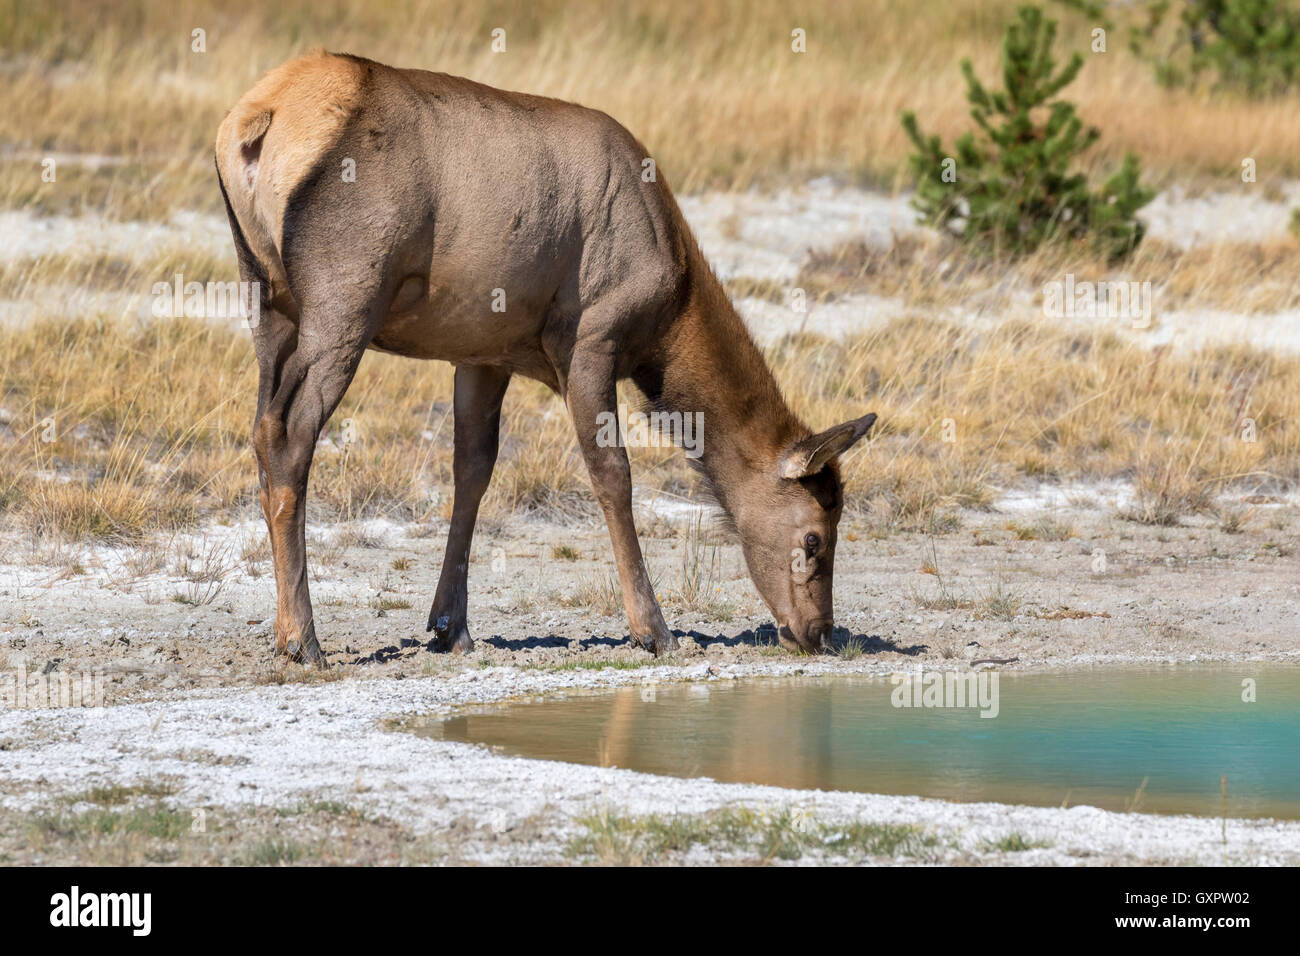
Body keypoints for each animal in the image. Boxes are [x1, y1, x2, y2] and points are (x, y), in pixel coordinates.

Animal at [218, 50, 878, 665]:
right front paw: (654, 629)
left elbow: (472, 471)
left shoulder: (483, 352)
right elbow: (613, 474)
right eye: (815, 538)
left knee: (261, 426)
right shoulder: (591, 338)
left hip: (267, 300)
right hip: (344, 300)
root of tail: (253, 122)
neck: (669, 314)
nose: (819, 632)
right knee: (290, 433)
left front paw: (451, 626)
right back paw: (303, 639)